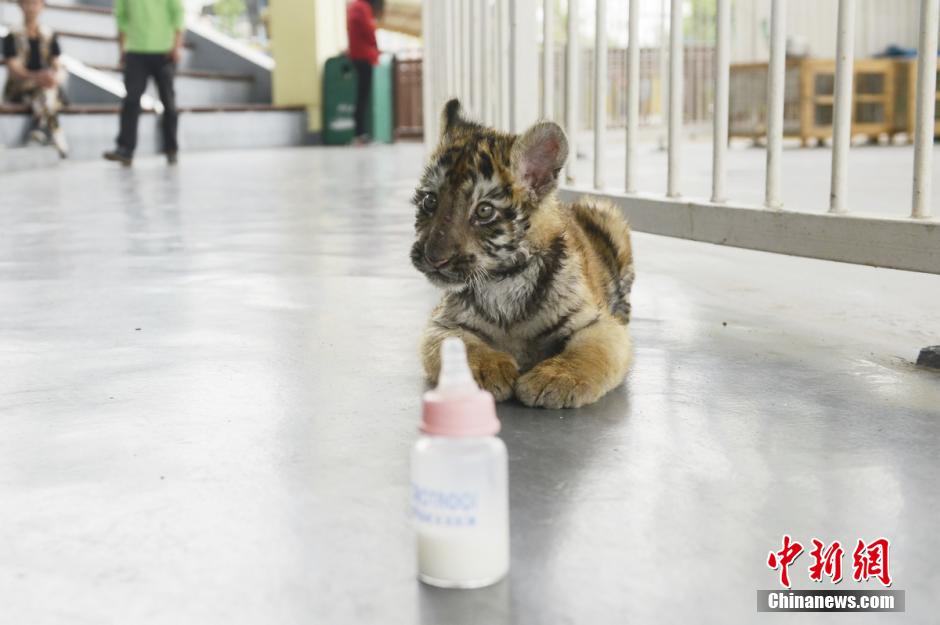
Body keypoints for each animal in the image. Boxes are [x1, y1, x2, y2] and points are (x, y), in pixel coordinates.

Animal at [410, 99, 635, 409]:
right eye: (430, 201)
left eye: (484, 211)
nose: (434, 258)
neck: (504, 279)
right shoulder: (442, 323)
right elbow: (463, 347)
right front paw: (488, 370)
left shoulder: (598, 325)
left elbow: (589, 353)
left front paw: (554, 379)